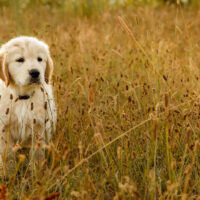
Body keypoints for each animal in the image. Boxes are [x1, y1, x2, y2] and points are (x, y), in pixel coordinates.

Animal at [0, 36, 56, 176]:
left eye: (39, 59)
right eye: (20, 60)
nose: (35, 72)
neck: (23, 96)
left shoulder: (39, 126)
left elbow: (37, 153)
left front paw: (37, 171)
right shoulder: (4, 127)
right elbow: (7, 153)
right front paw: (8, 173)